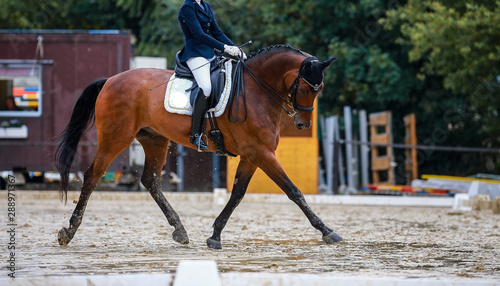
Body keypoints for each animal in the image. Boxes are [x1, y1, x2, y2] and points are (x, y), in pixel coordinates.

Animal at [55, 44, 344, 248]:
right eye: (306, 89)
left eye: (320, 88)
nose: (303, 124)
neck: (256, 90)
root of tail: (110, 80)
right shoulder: (261, 153)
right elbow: (293, 191)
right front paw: (327, 231)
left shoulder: (252, 156)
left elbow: (237, 194)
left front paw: (215, 234)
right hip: (116, 138)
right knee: (92, 176)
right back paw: (69, 231)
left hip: (154, 139)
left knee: (150, 180)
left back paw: (179, 230)